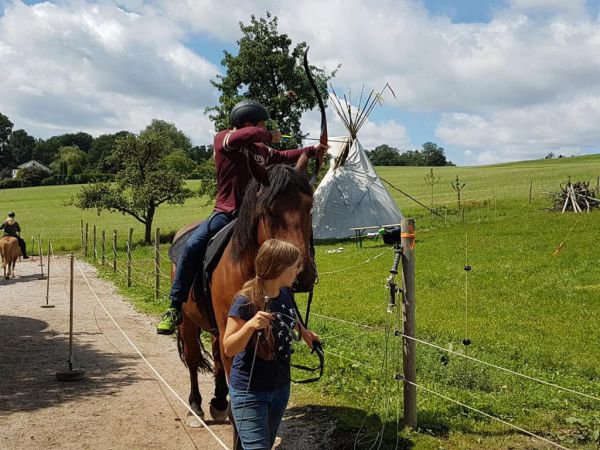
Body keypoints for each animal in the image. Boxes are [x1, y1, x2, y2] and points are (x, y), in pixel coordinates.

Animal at [172, 163, 316, 434]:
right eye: (269, 210)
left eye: (310, 206)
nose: (302, 275)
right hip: (187, 321)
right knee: (194, 359)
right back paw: (195, 407)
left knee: (216, 355)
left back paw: (219, 402)